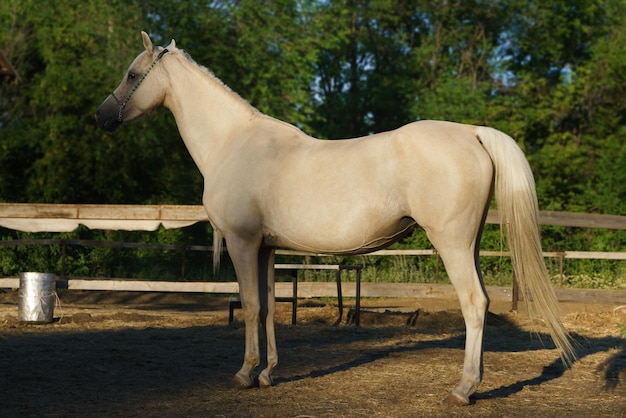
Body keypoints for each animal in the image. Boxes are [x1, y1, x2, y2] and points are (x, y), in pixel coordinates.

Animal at [95, 32, 572, 404]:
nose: (101, 116)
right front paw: (268, 373)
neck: (233, 142)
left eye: (132, 75)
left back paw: (463, 389)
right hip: (468, 244)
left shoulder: (242, 243)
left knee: (474, 304)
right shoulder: (267, 248)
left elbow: (250, 306)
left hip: (450, 243)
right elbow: (269, 307)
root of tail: (472, 131)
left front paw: (245, 374)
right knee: (483, 301)